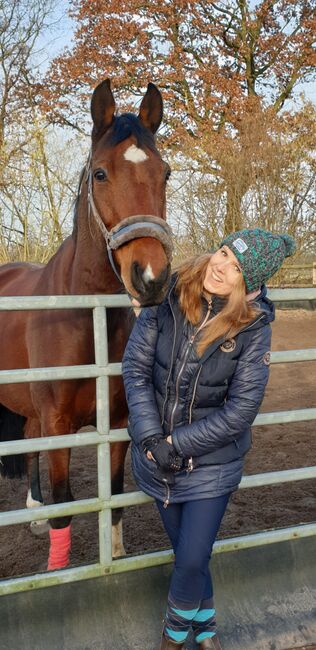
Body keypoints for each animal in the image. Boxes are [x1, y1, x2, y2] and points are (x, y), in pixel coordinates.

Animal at [0, 78, 173, 568]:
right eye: (100, 174)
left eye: (166, 173)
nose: (151, 277)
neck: (89, 318)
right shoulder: (58, 424)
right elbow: (66, 502)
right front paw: (57, 570)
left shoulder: (117, 424)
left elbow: (112, 496)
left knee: (27, 440)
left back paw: (33, 512)